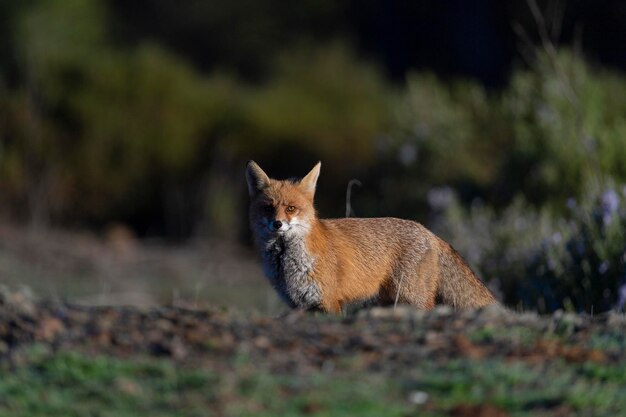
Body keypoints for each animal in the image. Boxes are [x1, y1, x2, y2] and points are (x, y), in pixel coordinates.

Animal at [246, 159, 494, 312]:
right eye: (268, 208)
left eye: (290, 209)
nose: (277, 224)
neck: (286, 263)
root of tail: (429, 232)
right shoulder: (300, 306)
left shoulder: (328, 301)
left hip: (411, 297)